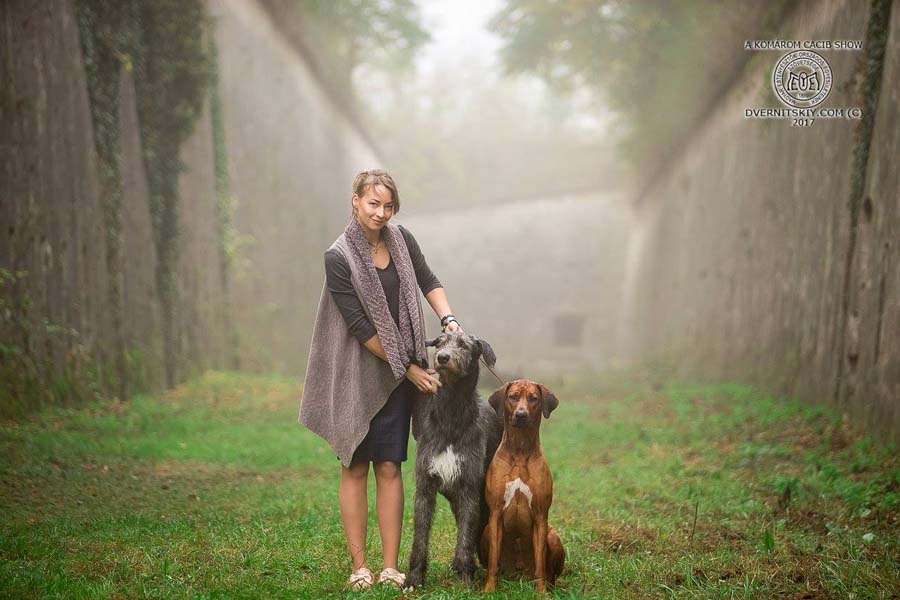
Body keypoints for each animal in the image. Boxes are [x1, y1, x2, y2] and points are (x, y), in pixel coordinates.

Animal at [408, 330, 506, 588]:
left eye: (463, 345)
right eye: (440, 343)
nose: (442, 357)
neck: (451, 414)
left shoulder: (469, 487)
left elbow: (466, 535)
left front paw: (465, 578)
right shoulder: (425, 486)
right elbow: (420, 536)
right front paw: (414, 578)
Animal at [482, 380, 568, 592]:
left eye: (533, 398)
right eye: (512, 397)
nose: (521, 414)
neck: (520, 451)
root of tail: (518, 575)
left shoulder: (540, 515)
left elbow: (540, 563)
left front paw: (541, 592)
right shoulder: (495, 513)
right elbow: (493, 561)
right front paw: (489, 589)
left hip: (553, 535)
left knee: (549, 571)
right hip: (486, 531)